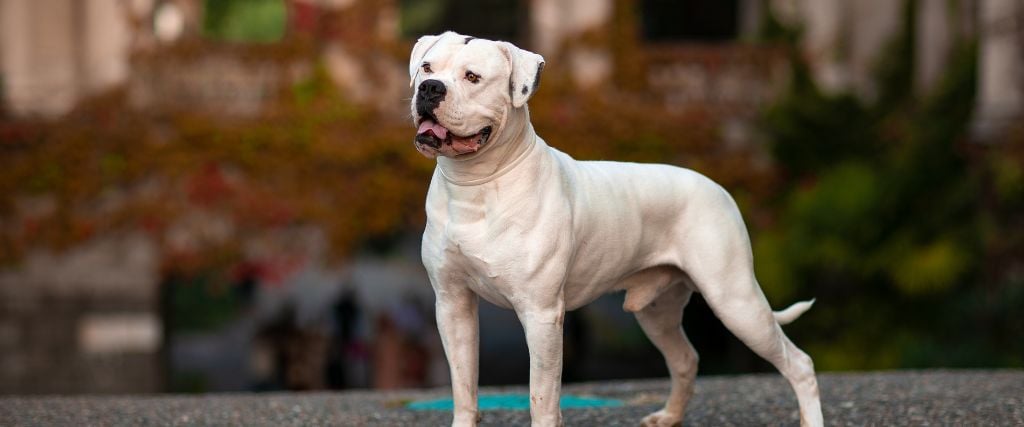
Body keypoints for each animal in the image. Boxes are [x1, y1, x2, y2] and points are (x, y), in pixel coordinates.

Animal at [407, 31, 823, 423]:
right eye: (427, 68)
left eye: (473, 77)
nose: (430, 88)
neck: (474, 185)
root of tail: (717, 187)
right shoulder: (453, 305)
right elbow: (464, 388)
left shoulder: (541, 314)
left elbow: (542, 397)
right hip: (657, 311)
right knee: (685, 358)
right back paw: (669, 417)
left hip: (736, 301)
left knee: (799, 362)